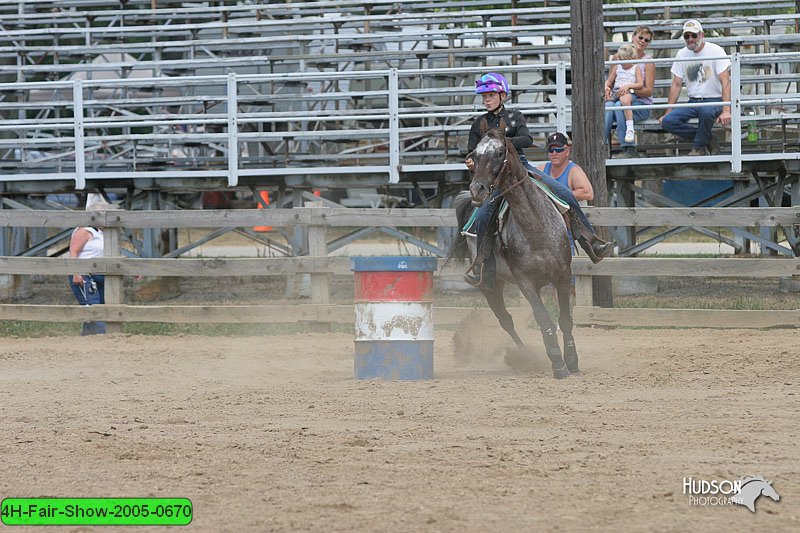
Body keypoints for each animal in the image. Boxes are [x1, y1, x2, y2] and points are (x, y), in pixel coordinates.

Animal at [454, 128, 580, 378]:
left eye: (499, 153)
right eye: (474, 155)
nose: (476, 189)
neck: (536, 226)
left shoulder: (563, 275)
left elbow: (565, 318)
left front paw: (572, 360)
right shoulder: (525, 282)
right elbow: (543, 318)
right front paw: (557, 363)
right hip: (490, 286)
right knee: (506, 321)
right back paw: (523, 355)